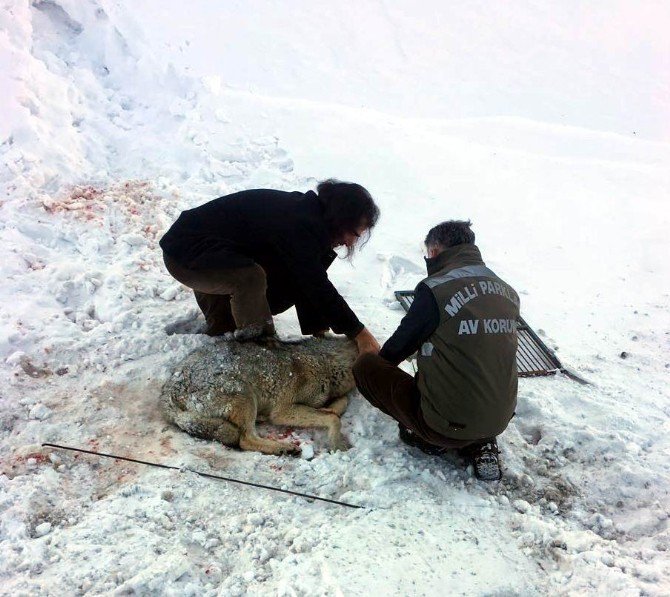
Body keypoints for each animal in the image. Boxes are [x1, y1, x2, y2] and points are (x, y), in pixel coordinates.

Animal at [160, 338, 360, 454]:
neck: (326, 362)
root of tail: (168, 390)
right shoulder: (283, 411)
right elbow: (334, 419)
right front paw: (338, 445)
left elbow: (339, 404)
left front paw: (330, 408)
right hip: (244, 395)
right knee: (245, 440)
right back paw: (282, 448)